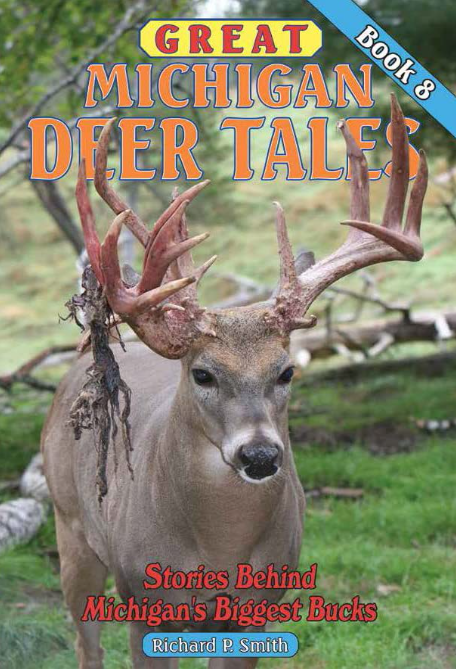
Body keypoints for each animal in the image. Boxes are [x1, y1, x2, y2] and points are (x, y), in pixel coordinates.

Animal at [42, 95, 428, 669]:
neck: (218, 547)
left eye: (287, 370)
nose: (261, 455)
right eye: (203, 373)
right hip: (70, 527)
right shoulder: (143, 601)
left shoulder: (256, 606)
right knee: (85, 643)